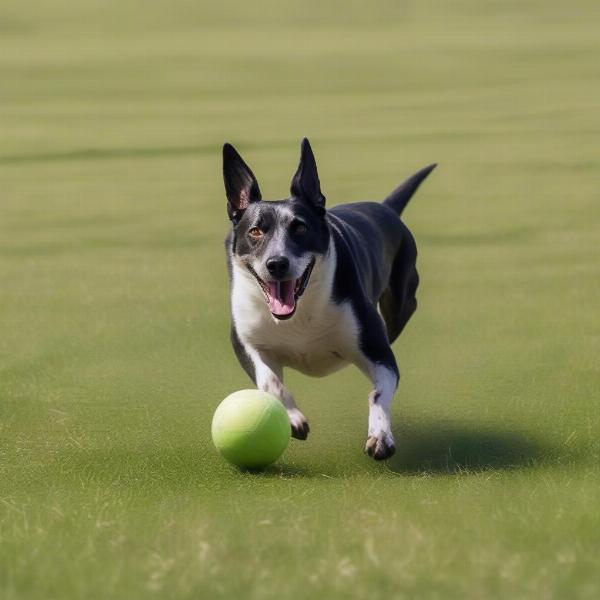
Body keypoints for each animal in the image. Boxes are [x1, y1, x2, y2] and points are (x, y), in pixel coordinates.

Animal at [223, 139, 434, 460]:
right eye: (255, 231)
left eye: (301, 228)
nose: (276, 263)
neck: (299, 314)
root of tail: (385, 207)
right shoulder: (246, 343)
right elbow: (271, 382)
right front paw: (293, 418)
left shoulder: (379, 354)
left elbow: (378, 392)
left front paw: (380, 436)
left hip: (400, 303)